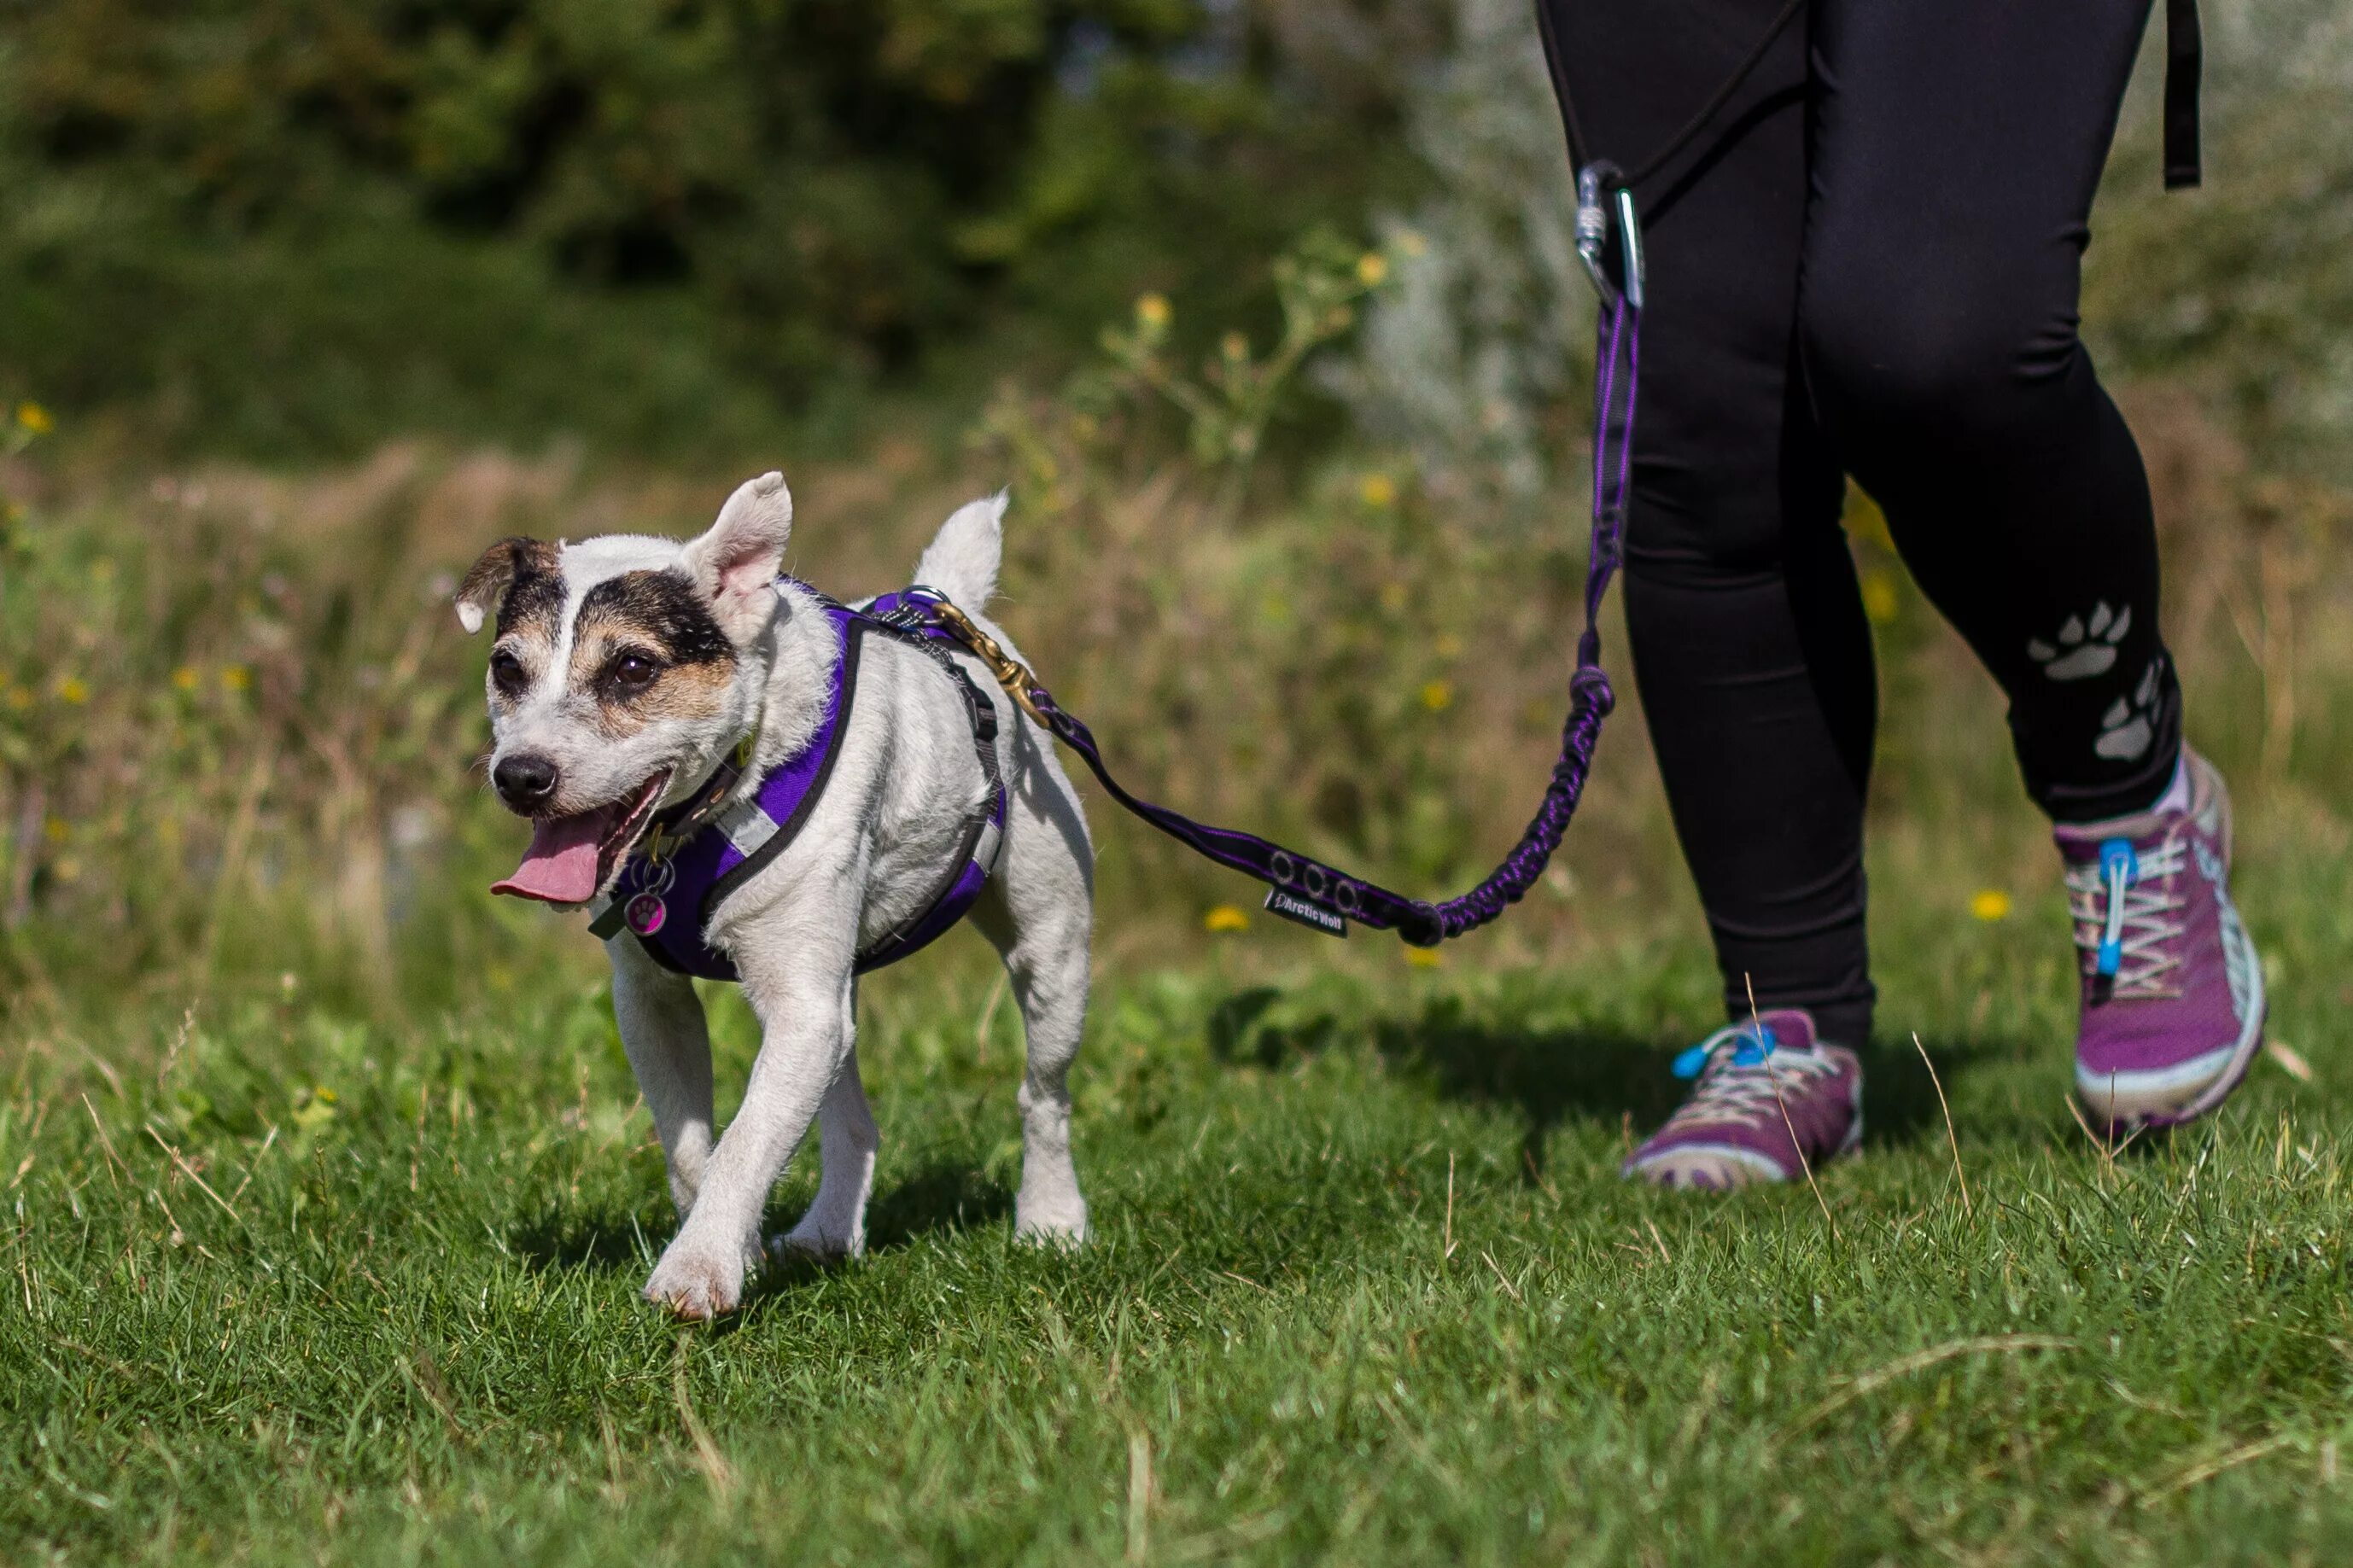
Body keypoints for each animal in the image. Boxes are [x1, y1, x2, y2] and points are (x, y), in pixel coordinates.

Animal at [461, 472, 1101, 1316]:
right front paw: (734, 1246)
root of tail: (947, 607)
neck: (704, 816)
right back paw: (829, 1231)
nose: (521, 776)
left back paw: (1052, 1219)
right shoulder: (653, 1003)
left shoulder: (800, 1007)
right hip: (839, 990)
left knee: (1044, 1096)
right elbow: (696, 1148)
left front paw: (696, 1272)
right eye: (507, 667)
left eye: (632, 667)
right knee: (848, 1112)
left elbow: (745, 1141)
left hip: (1050, 950)